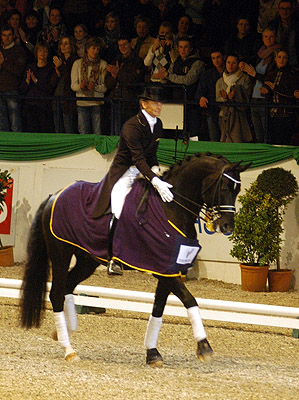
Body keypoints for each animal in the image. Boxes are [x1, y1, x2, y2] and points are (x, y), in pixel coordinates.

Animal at [19, 152, 251, 366]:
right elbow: (190, 300)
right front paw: (204, 347)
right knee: (57, 293)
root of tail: (54, 196)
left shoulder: (167, 269)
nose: (227, 226)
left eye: (237, 190)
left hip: (87, 260)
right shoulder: (166, 272)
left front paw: (152, 353)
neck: (171, 209)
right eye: (224, 187)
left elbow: (158, 309)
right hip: (61, 253)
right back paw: (69, 350)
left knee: (68, 285)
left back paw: (64, 331)